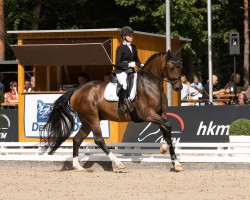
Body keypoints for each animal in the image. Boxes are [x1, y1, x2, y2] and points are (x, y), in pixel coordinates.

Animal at [40, 50, 184, 172]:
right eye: (171, 67)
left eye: (180, 67)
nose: (179, 87)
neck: (150, 84)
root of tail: (76, 89)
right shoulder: (148, 115)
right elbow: (168, 126)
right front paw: (163, 149)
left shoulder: (161, 115)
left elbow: (167, 133)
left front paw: (176, 163)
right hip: (92, 118)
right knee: (98, 139)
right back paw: (118, 163)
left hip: (87, 120)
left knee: (77, 139)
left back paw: (78, 167)